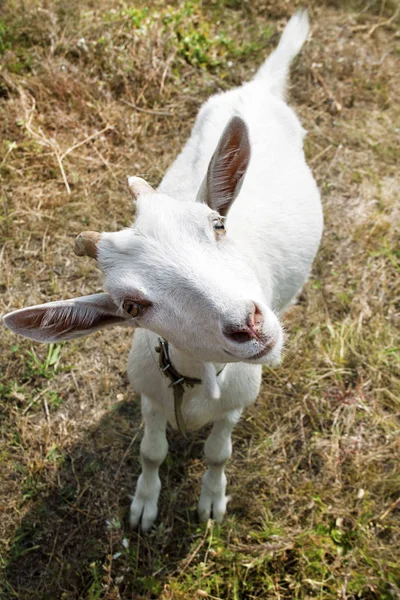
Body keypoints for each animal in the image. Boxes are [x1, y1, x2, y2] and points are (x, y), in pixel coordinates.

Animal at [3, 11, 322, 528]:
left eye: (217, 224)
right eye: (132, 306)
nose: (249, 324)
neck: (193, 379)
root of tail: (258, 87)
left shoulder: (235, 404)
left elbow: (217, 453)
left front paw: (211, 501)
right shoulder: (150, 396)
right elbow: (151, 452)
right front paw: (143, 507)